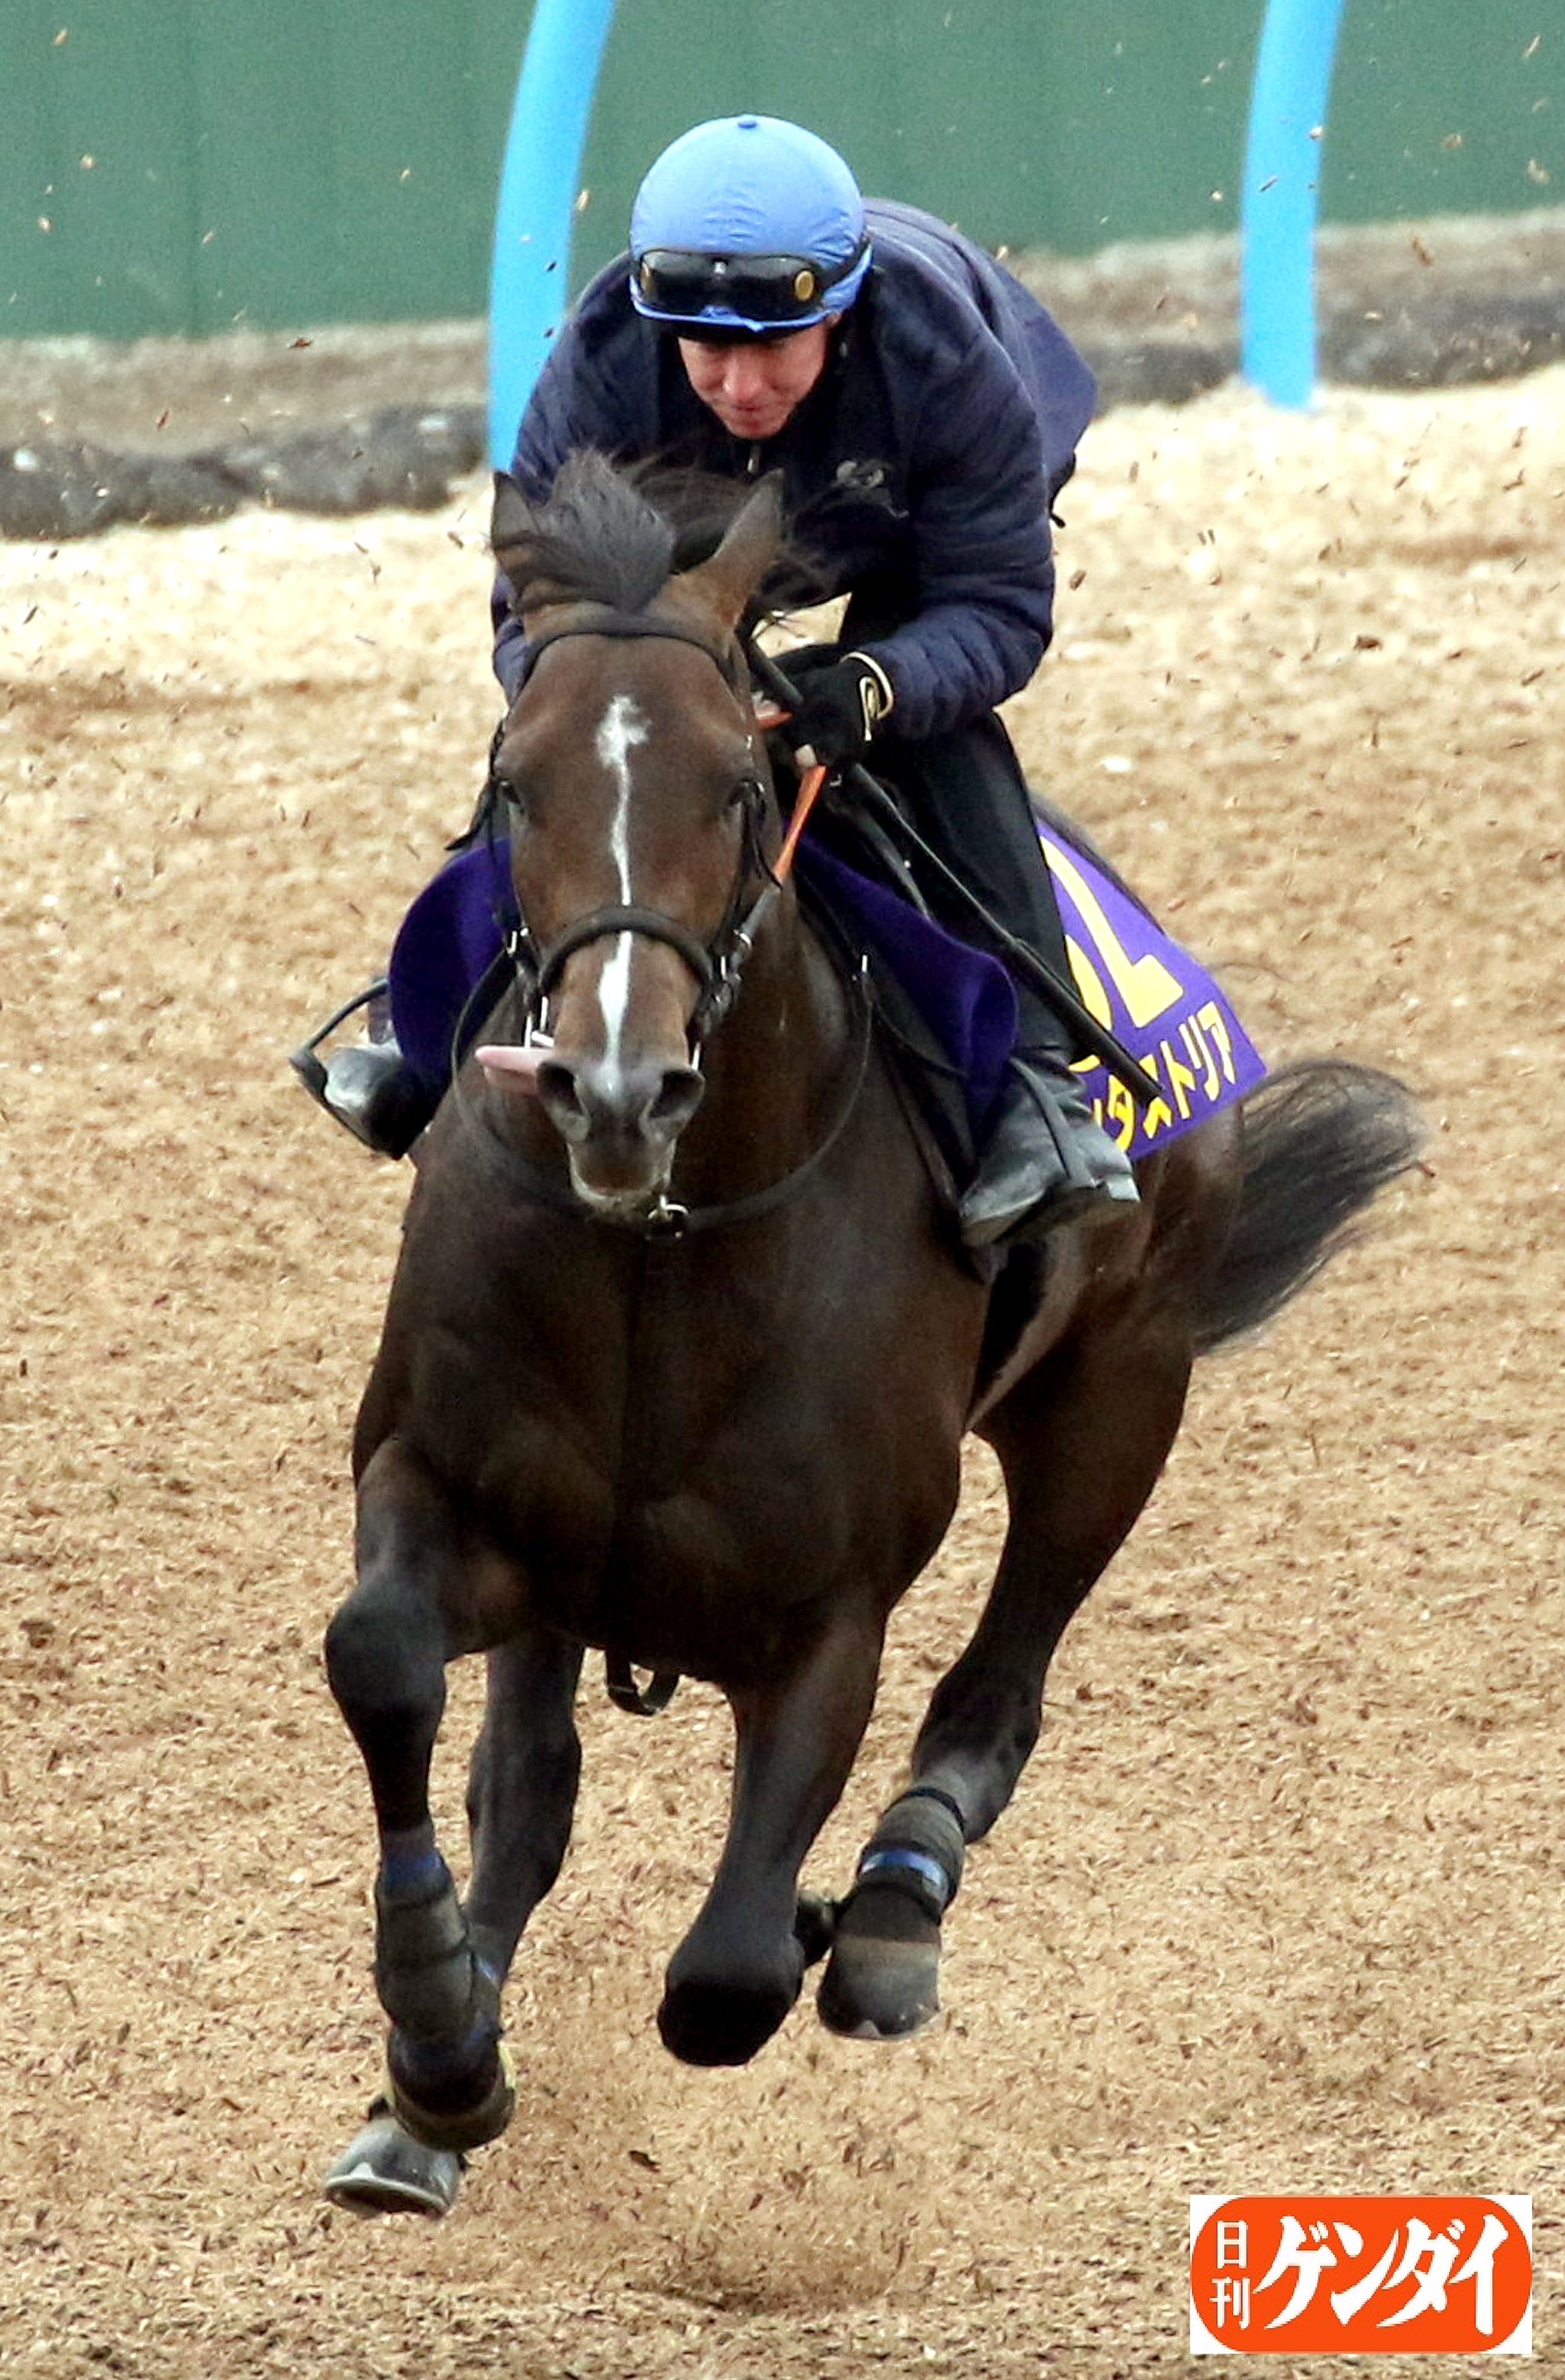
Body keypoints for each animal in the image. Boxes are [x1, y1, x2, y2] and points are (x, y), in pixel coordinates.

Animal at [319, 453, 1422, 2216]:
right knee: (530, 1781)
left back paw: (891, 1905)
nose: (613, 1090)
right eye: (512, 788)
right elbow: (392, 1670)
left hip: (1121, 1387)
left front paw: (813, 1917)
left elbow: (722, 1983)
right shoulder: (462, 1496)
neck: (662, 1250)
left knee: (998, 1689)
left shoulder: (830, 1612)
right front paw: (434, 2041)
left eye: (733, 790)